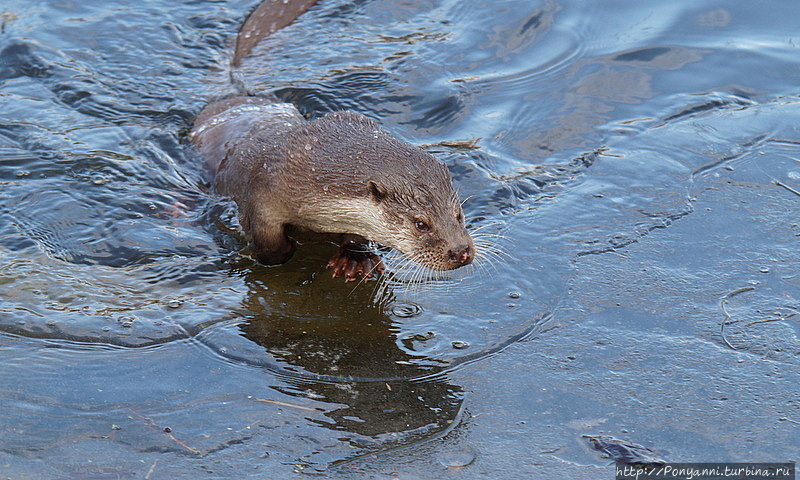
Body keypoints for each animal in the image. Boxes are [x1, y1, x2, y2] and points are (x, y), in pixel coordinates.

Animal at [190, 0, 472, 280]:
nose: (460, 251)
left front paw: (355, 257)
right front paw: (280, 253)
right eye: (421, 224)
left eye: (458, 215)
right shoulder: (261, 192)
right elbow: (267, 241)